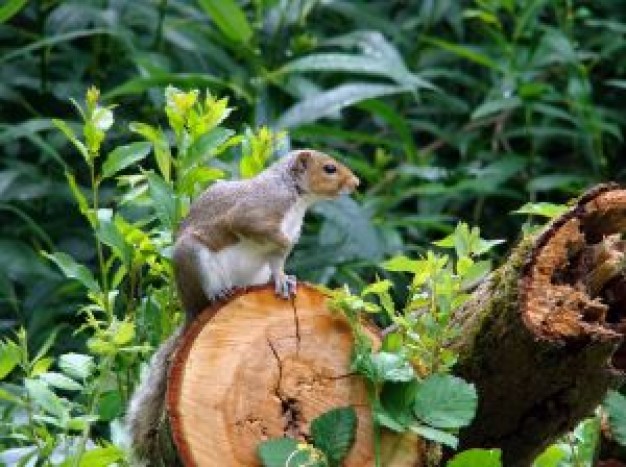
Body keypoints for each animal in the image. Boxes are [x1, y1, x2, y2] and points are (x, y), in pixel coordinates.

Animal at [124, 149, 358, 464]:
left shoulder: (273, 253)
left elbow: (278, 262)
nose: (356, 183)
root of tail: (190, 310)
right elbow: (249, 226)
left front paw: (284, 279)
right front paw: (288, 245)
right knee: (208, 292)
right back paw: (221, 292)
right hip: (194, 259)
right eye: (329, 168)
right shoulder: (255, 212)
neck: (295, 196)